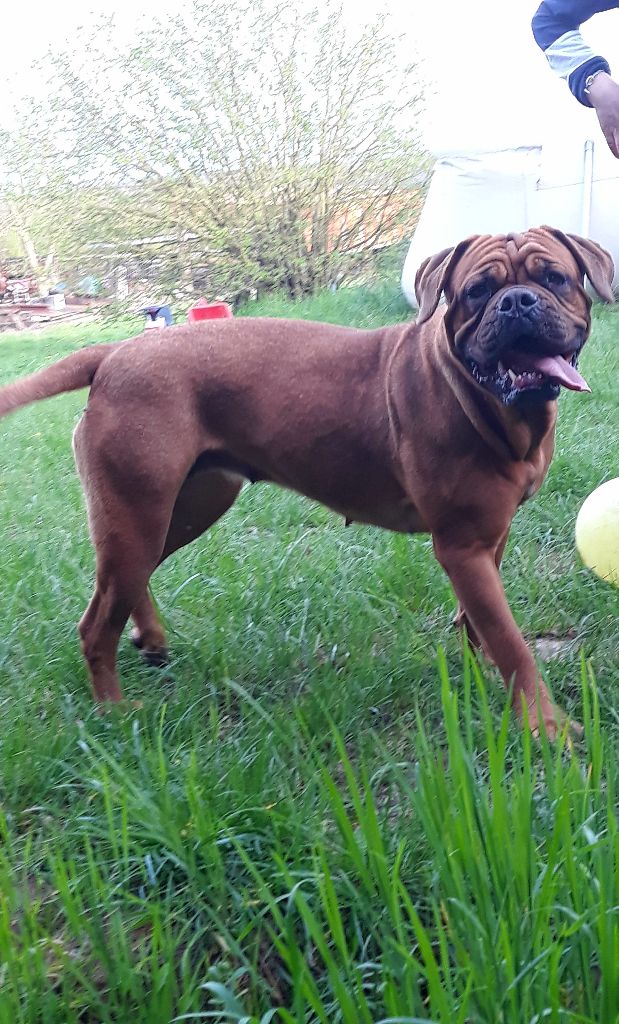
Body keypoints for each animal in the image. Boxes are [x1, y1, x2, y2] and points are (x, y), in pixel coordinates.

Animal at [0, 227, 613, 736]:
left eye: (554, 278)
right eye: (477, 291)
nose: (517, 301)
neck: (490, 404)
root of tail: (115, 352)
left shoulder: (490, 538)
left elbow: (479, 626)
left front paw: (480, 681)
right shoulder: (463, 547)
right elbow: (512, 641)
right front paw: (546, 727)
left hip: (183, 508)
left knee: (131, 582)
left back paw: (149, 641)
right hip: (137, 512)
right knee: (96, 622)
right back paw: (112, 711)